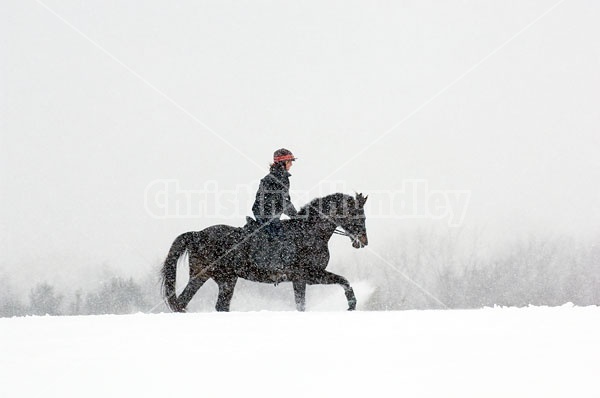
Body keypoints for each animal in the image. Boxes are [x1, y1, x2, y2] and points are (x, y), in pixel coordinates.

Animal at [159, 192, 368, 310]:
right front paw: (351, 305)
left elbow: (341, 283)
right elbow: (340, 283)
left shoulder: (308, 278)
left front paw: (352, 304)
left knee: (203, 304)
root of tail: (197, 234)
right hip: (212, 276)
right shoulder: (307, 276)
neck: (309, 232)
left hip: (220, 278)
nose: (363, 242)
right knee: (189, 303)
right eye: (358, 215)